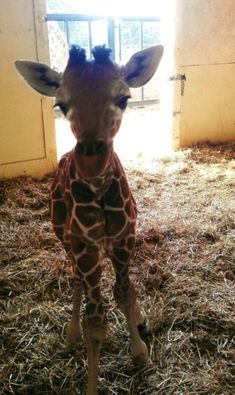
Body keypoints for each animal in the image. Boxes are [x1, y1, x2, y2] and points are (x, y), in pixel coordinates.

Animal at [15, 44, 163, 394]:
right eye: (60, 104)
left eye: (123, 98)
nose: (91, 162)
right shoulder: (85, 246)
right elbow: (95, 321)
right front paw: (93, 383)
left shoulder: (124, 239)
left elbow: (125, 293)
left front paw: (142, 354)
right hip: (65, 237)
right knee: (76, 280)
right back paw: (70, 334)